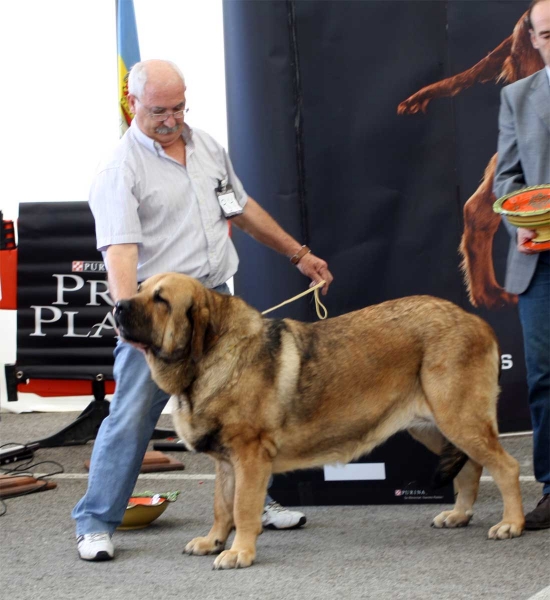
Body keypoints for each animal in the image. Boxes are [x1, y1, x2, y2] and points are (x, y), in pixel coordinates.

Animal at [115, 274, 528, 568]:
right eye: (141, 288)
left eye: (161, 299)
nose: (117, 306)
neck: (207, 358)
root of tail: (474, 320)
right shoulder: (226, 463)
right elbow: (222, 505)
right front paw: (213, 541)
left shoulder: (250, 457)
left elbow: (243, 509)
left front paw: (239, 552)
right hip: (432, 426)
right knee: (471, 467)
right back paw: (458, 514)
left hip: (458, 417)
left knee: (505, 466)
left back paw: (512, 523)